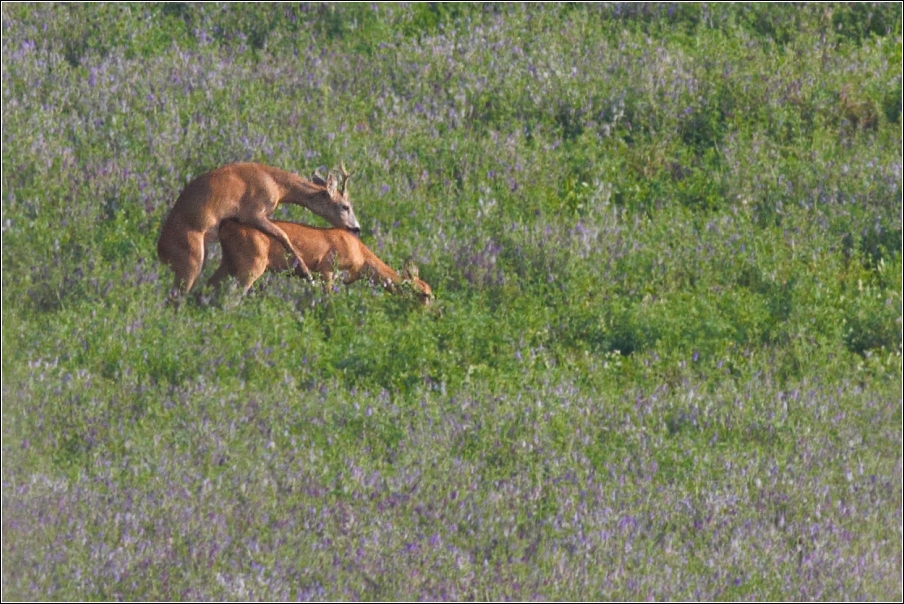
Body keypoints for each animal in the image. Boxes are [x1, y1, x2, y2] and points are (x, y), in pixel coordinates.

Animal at [157, 162, 358, 296]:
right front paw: (308, 275)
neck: (277, 185)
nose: (357, 228)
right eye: (345, 206)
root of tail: (160, 252)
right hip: (190, 258)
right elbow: (284, 236)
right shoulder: (253, 212)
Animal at [213, 218, 438, 306]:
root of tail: (225, 226)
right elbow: (328, 300)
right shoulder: (327, 269)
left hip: (228, 261)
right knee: (233, 295)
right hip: (251, 263)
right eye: (424, 294)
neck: (361, 258)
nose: (436, 313)